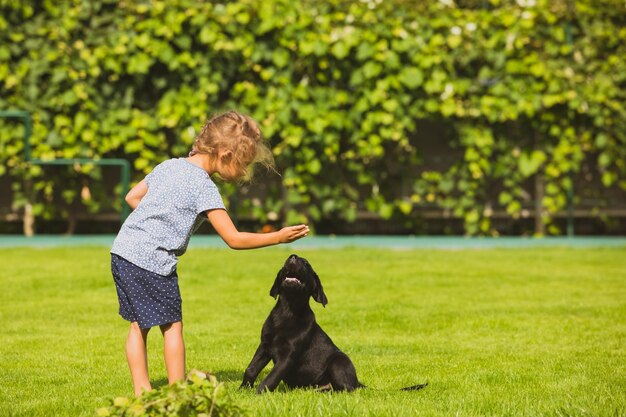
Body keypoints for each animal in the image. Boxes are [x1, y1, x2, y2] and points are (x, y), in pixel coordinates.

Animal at [241, 254, 426, 394]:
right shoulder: (264, 346)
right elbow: (251, 370)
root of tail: (357, 381)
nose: (292, 257)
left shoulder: (287, 357)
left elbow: (270, 379)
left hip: (338, 362)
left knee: (347, 389)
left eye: (306, 264)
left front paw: (257, 396)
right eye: (287, 260)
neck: (288, 311)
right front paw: (242, 391)